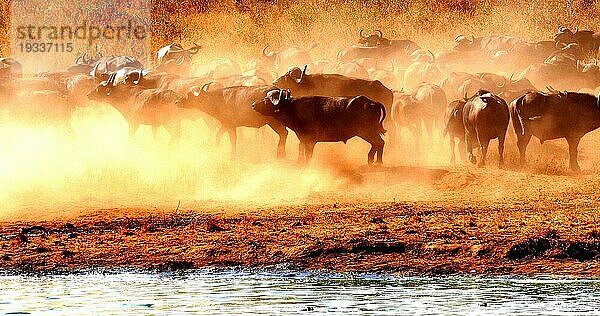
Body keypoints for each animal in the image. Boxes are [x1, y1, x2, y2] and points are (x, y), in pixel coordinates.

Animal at [252, 88, 384, 164]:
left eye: (267, 100)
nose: (253, 105)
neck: (294, 109)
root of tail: (373, 102)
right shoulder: (303, 140)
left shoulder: (311, 141)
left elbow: (308, 155)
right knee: (377, 144)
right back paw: (371, 161)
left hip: (367, 132)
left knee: (379, 143)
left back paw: (377, 162)